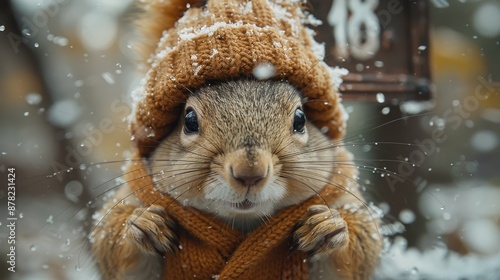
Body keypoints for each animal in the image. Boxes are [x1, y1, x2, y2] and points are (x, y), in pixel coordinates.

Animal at [90, 0, 380, 280]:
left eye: (300, 119)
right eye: (189, 121)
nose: (250, 173)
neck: (242, 221)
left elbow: (362, 250)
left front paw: (329, 227)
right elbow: (111, 250)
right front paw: (144, 224)